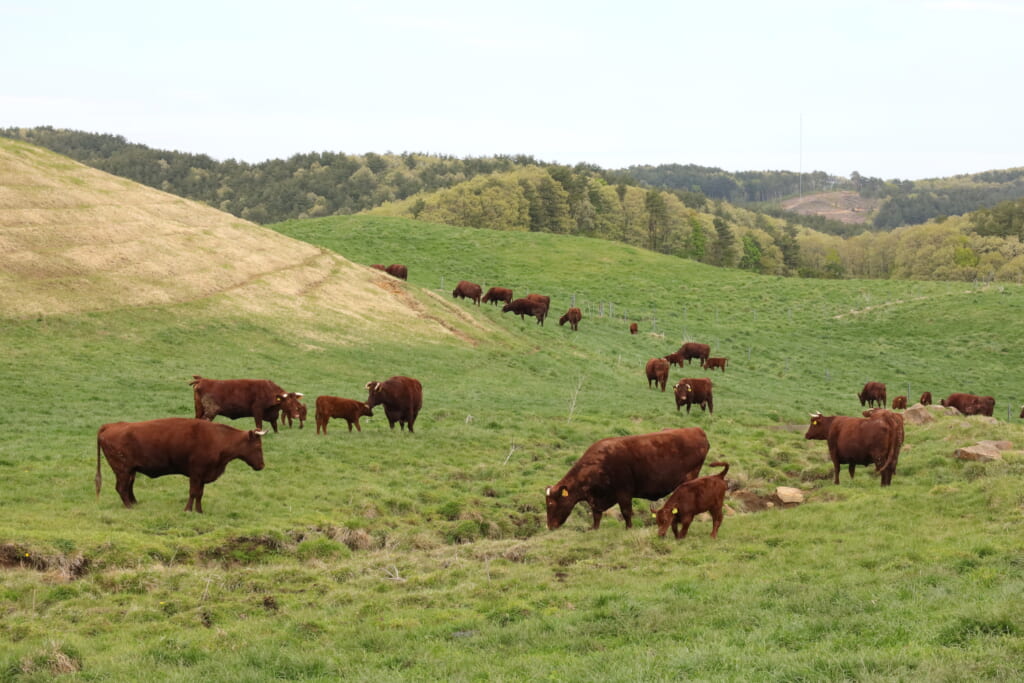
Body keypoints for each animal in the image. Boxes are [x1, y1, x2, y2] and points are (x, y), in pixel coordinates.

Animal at [95, 417, 268, 511]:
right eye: (258, 446)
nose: (261, 466)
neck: (217, 438)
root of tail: (110, 425)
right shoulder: (196, 474)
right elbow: (193, 492)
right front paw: (188, 510)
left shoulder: (202, 476)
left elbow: (199, 493)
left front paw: (199, 511)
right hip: (123, 470)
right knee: (121, 488)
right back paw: (130, 507)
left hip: (131, 470)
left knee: (128, 487)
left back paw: (134, 503)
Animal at [544, 430, 712, 532]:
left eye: (551, 503)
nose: (550, 526)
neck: (598, 464)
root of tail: (697, 431)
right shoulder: (597, 499)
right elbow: (596, 515)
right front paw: (594, 528)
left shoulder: (624, 493)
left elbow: (626, 512)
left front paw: (628, 528)